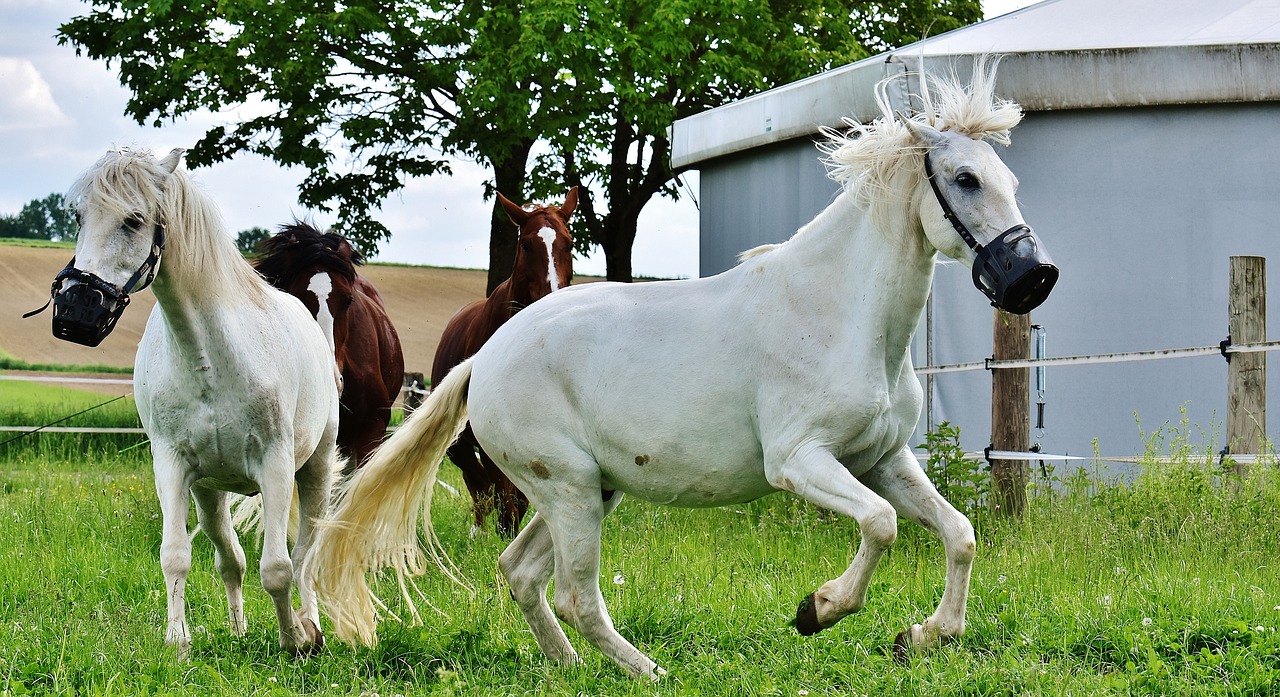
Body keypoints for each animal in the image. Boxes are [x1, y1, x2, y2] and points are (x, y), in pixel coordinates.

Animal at [56, 148, 340, 659]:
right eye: (79, 216)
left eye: (133, 219)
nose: (75, 309)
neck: (208, 356)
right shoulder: (171, 465)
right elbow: (176, 556)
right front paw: (178, 643)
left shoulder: (275, 465)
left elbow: (278, 568)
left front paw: (292, 641)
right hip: (210, 492)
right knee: (232, 559)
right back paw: (239, 629)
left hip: (316, 468)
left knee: (306, 553)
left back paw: (311, 626)